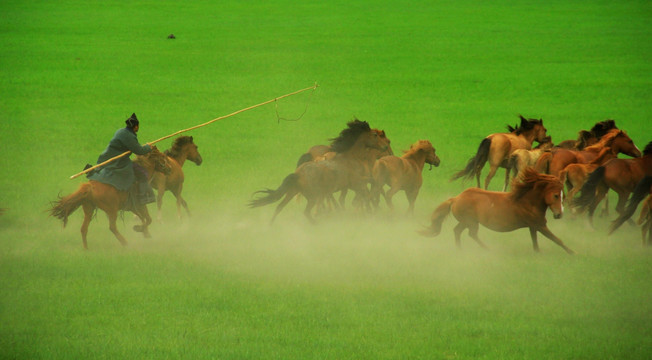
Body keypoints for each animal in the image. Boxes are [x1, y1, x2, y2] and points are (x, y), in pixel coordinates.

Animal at [248, 119, 382, 224]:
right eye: (375, 135)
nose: (383, 147)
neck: (351, 158)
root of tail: (298, 174)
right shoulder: (356, 183)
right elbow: (366, 193)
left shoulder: (353, 184)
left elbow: (367, 191)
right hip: (313, 196)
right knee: (306, 212)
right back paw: (316, 224)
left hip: (292, 192)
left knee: (279, 207)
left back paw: (271, 227)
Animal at [422, 168, 572, 255]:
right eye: (556, 195)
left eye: (563, 195)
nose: (559, 215)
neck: (527, 201)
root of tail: (456, 198)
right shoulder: (540, 225)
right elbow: (557, 240)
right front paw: (573, 253)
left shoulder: (533, 226)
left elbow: (535, 241)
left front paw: (538, 252)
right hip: (470, 222)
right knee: (470, 234)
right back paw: (487, 249)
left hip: (467, 222)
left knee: (458, 231)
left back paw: (460, 249)